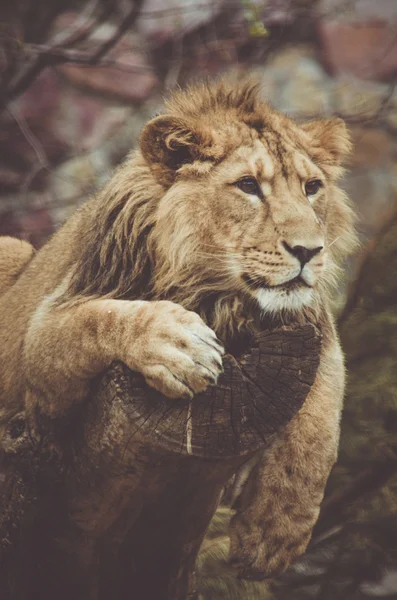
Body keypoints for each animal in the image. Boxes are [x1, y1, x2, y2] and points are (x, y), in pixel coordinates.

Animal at [0, 78, 356, 576]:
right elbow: (101, 318)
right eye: (248, 186)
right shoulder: (46, 337)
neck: (218, 294)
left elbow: (322, 419)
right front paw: (179, 347)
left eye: (312, 188)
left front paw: (275, 532)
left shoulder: (311, 326)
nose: (309, 250)